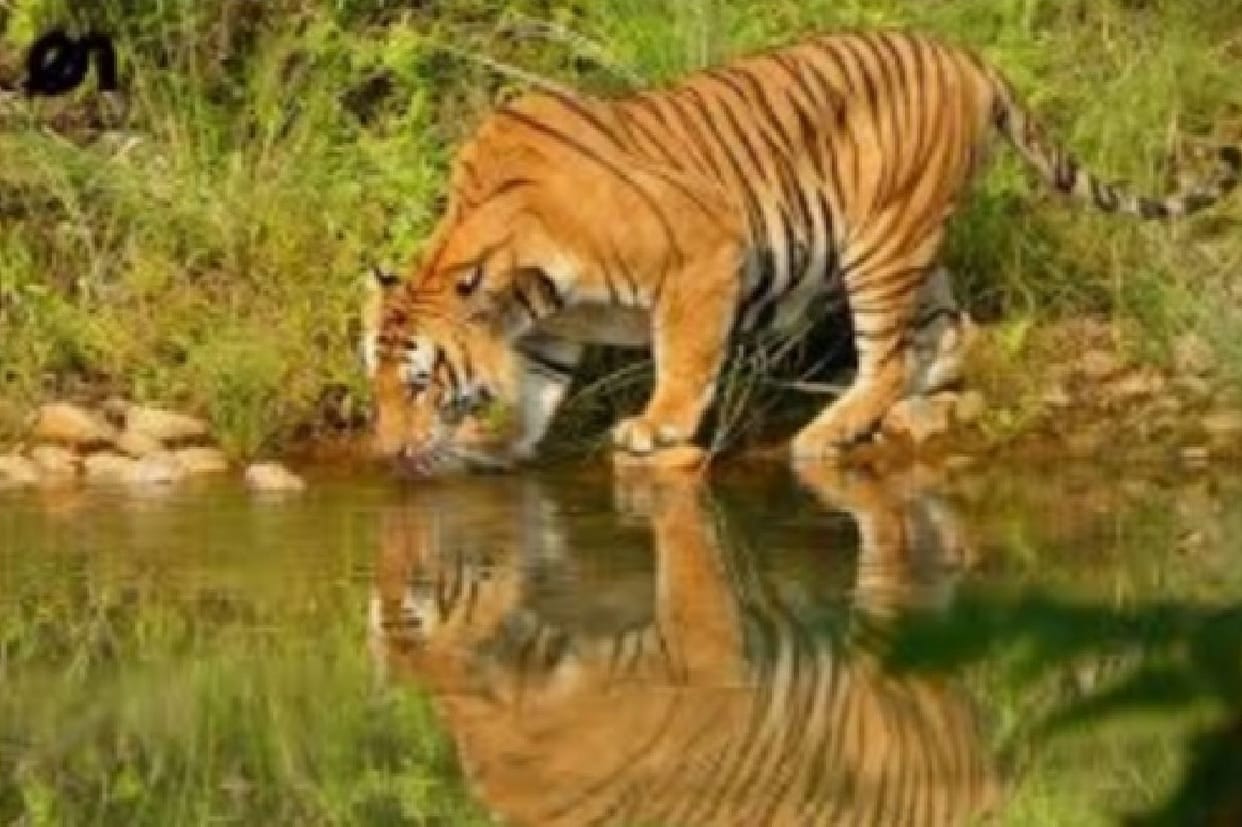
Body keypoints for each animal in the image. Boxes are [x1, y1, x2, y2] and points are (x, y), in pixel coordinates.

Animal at [362, 30, 1240, 472]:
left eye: (420, 381)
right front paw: (494, 444)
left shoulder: (703, 254)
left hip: (877, 241)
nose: (388, 452)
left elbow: (684, 358)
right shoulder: (551, 328)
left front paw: (657, 427)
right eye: (375, 384)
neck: (518, 283)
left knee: (886, 351)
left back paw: (825, 431)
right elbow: (537, 391)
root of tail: (963, 54)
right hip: (913, 242)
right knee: (943, 332)